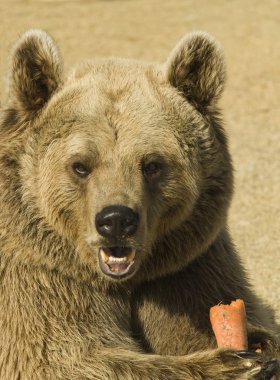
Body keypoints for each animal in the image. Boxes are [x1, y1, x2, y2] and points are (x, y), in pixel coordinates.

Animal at [0, 30, 278, 380]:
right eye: (80, 165)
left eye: (152, 164)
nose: (116, 220)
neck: (123, 281)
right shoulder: (41, 278)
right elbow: (59, 359)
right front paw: (232, 363)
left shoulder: (184, 268)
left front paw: (258, 344)